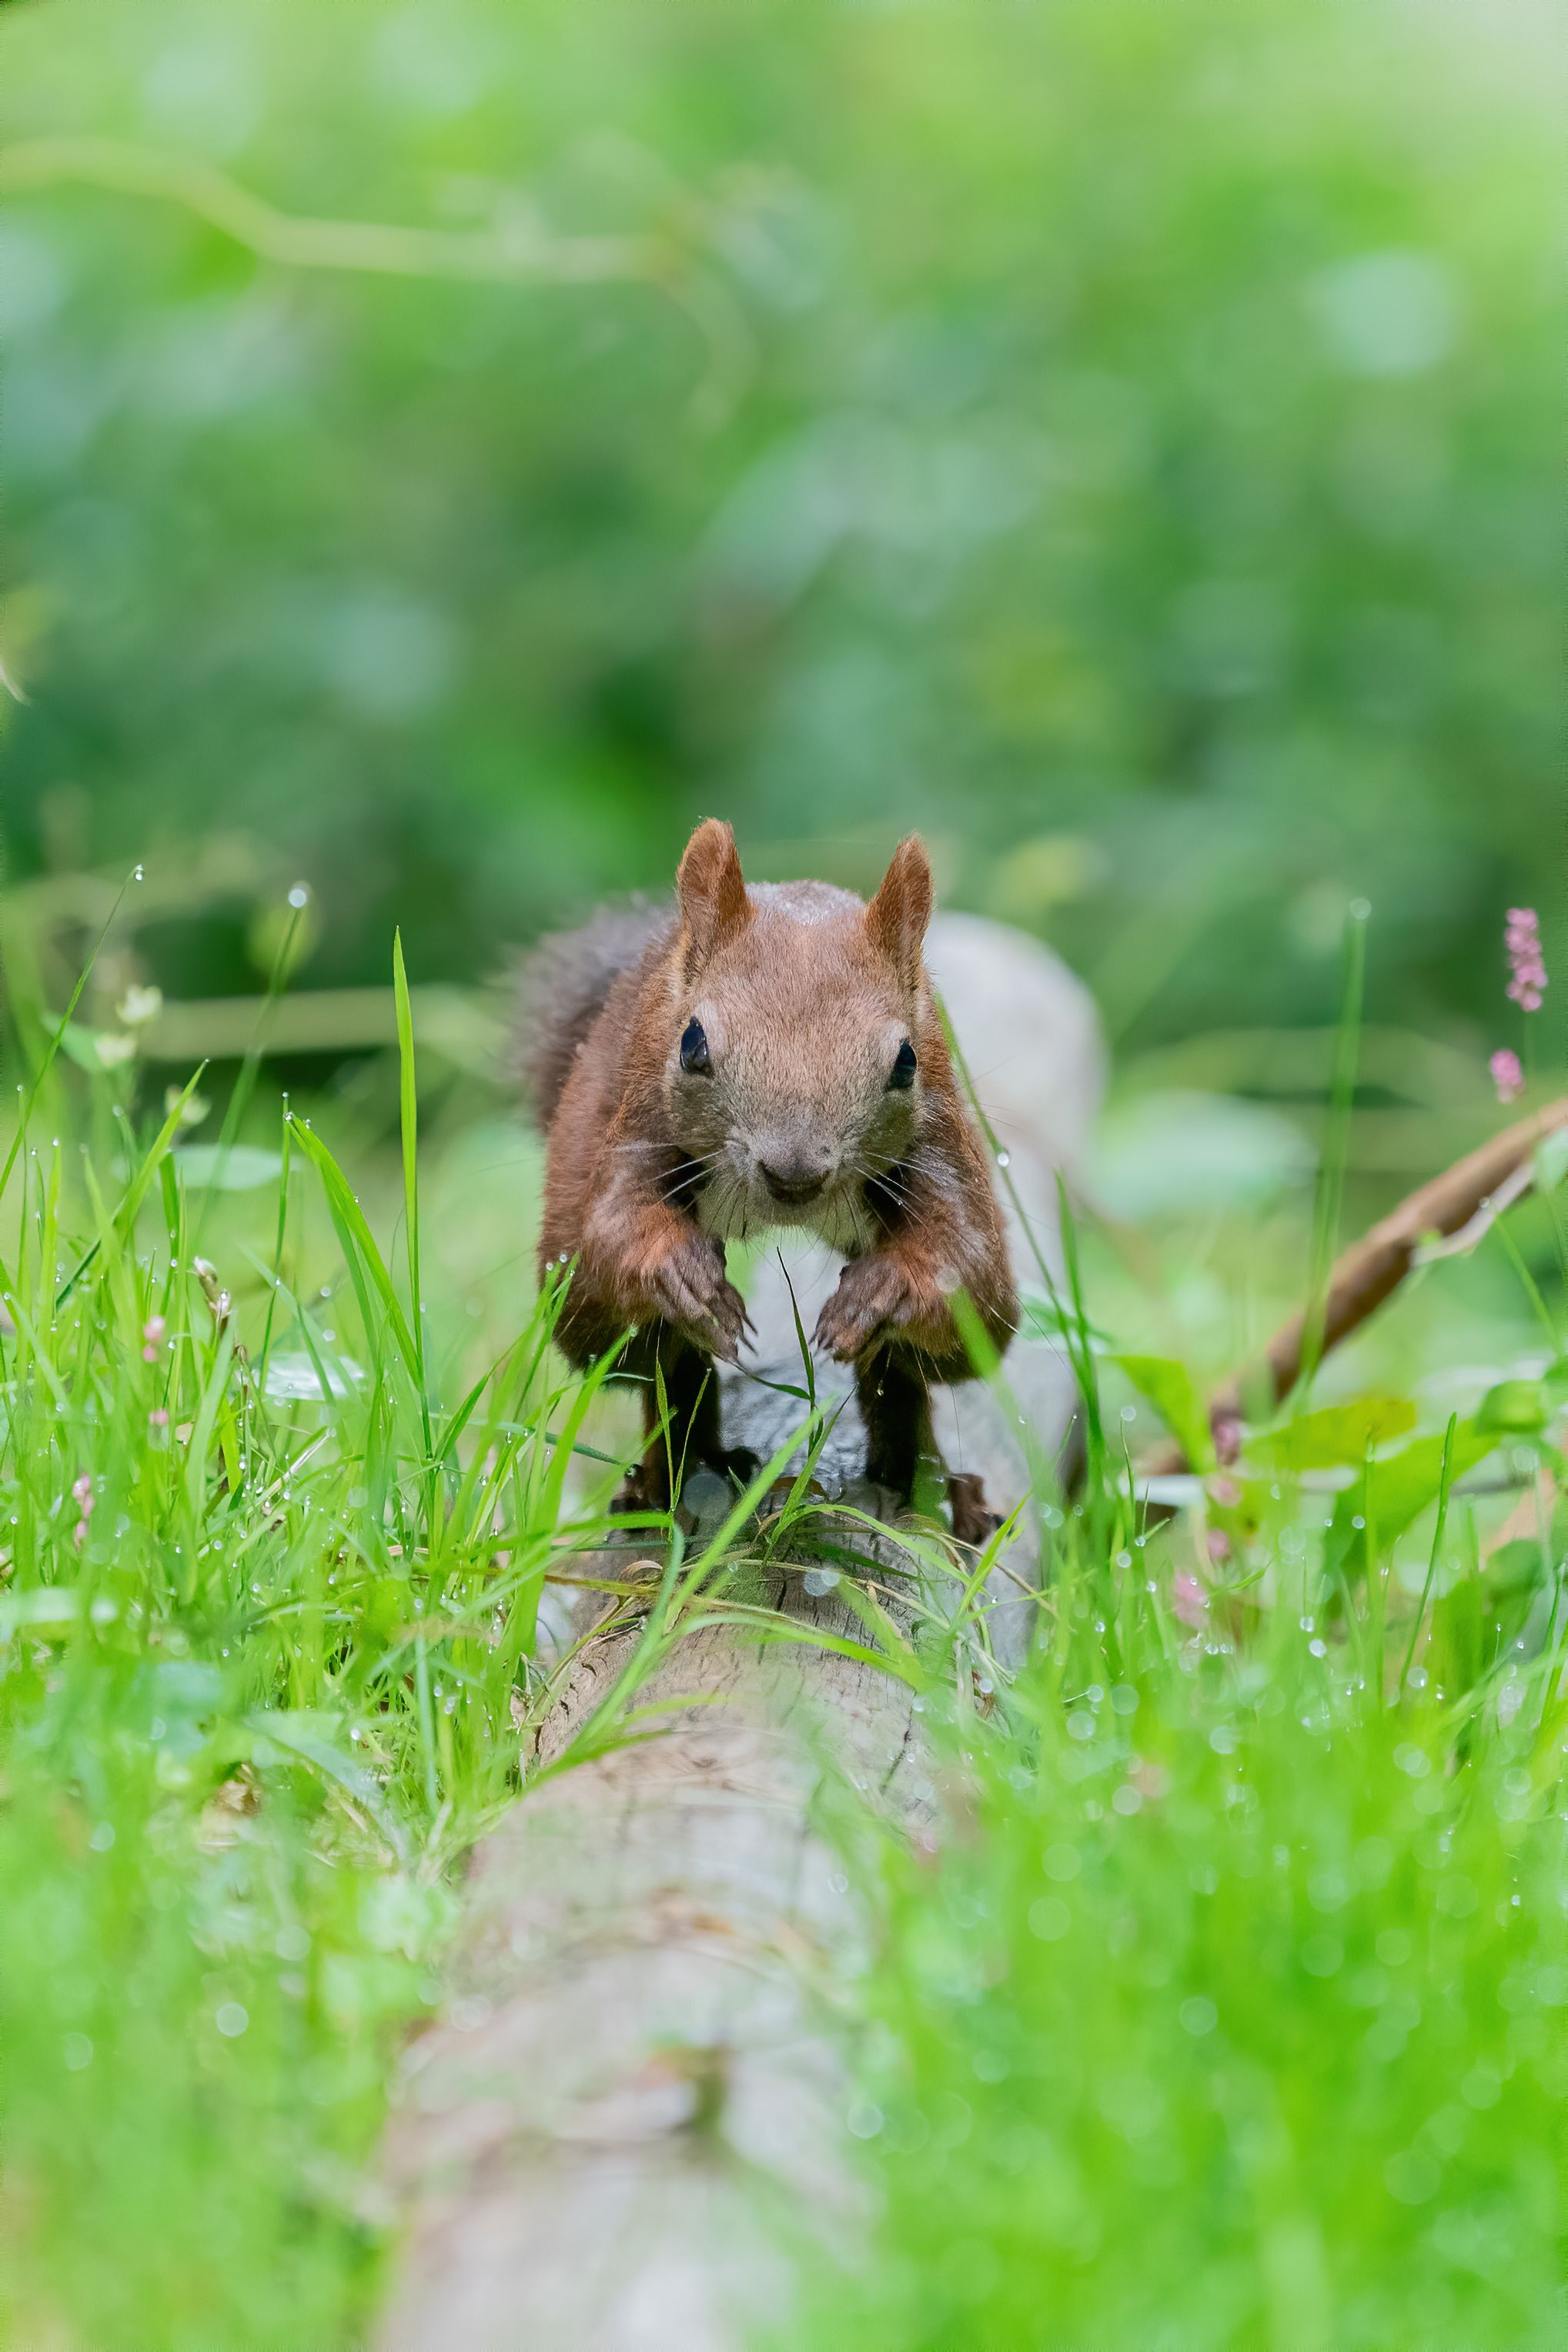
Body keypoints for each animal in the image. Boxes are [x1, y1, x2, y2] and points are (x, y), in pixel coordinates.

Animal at [522, 820, 1018, 1546]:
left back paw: (924, 1486)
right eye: (691, 1043)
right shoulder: (636, 1133)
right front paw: (677, 1271)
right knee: (664, 1362)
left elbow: (971, 1279)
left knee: (898, 1374)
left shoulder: (941, 1150)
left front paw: (884, 1291)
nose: (794, 1174)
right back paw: (676, 1476)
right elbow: (609, 1240)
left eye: (906, 1062)